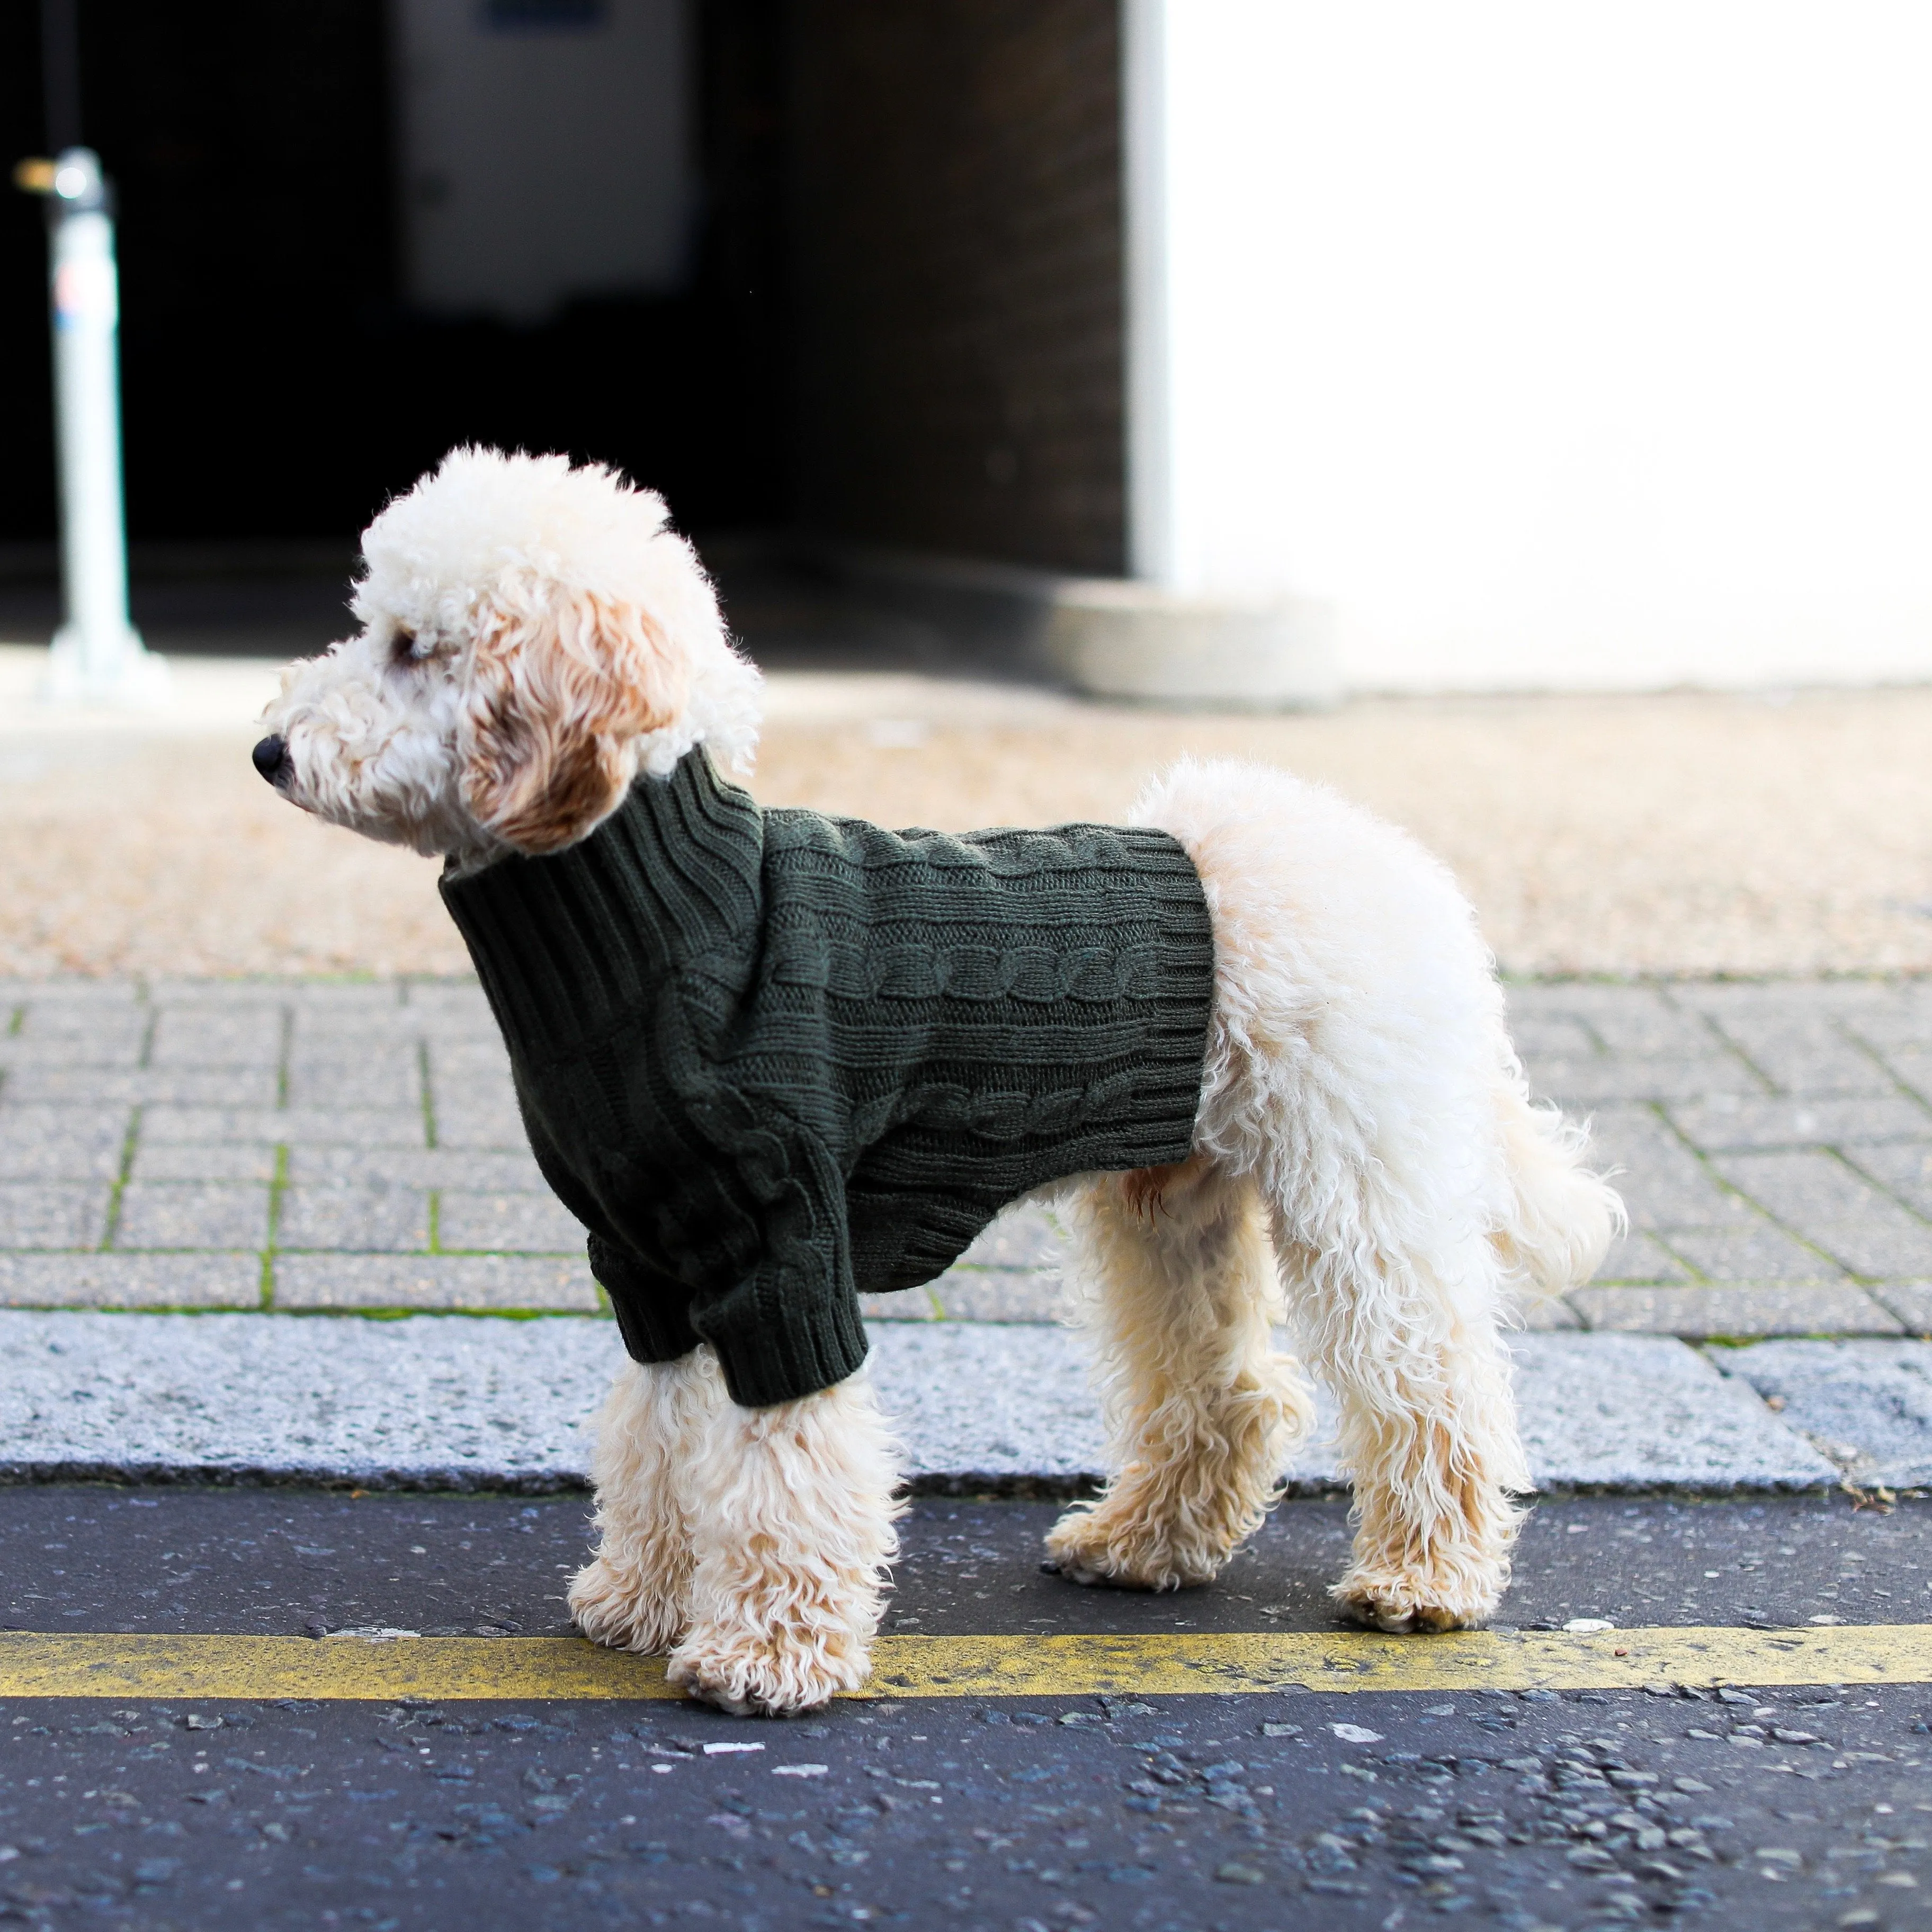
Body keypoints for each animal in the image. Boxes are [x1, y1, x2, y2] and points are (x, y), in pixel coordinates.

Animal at [253, 448, 1615, 1723]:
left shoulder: (781, 1237)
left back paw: (1425, 1579)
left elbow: (788, 1459)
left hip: (1357, 1184)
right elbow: (658, 1440)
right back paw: (1142, 1545)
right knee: (1230, 1388)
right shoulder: (650, 1261)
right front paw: (641, 1595)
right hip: (1169, 1201)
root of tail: (1400, 871)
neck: (663, 903)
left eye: (413, 645)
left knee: (1433, 1377)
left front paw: (768, 1654)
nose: (267, 751)